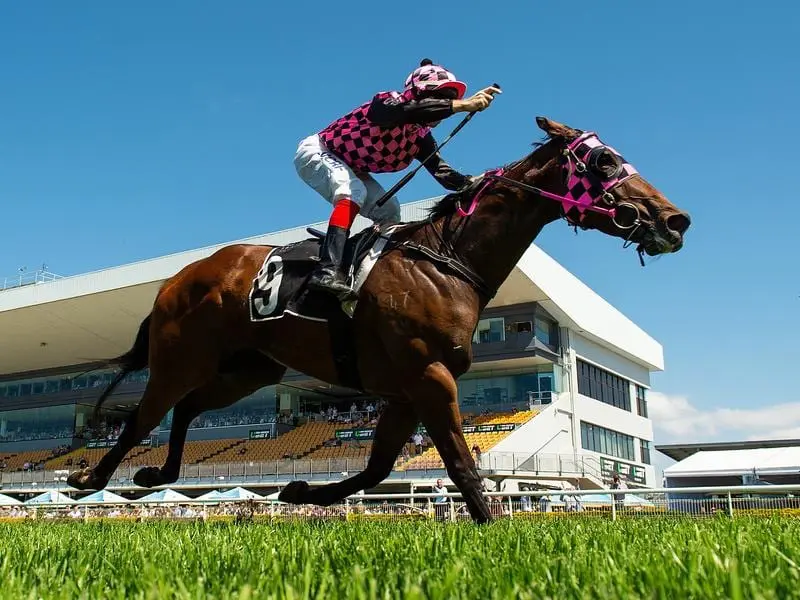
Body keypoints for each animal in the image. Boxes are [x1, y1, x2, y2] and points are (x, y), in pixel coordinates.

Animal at [69, 115, 692, 524]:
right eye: (605, 160)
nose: (675, 219)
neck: (447, 260)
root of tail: (175, 279)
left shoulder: (403, 389)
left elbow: (376, 469)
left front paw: (302, 492)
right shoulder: (429, 378)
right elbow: (460, 463)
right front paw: (495, 528)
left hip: (250, 369)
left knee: (187, 408)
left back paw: (155, 474)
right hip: (181, 357)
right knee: (141, 418)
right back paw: (90, 477)